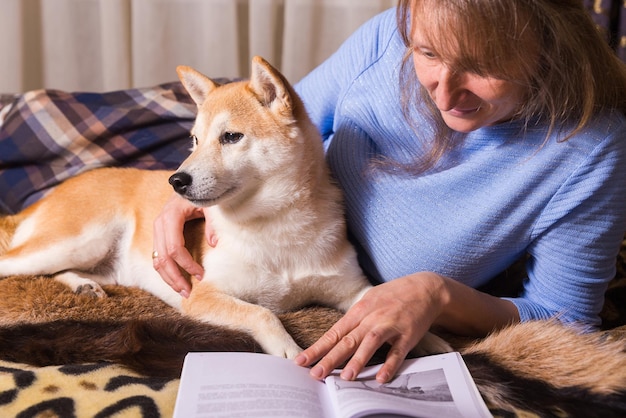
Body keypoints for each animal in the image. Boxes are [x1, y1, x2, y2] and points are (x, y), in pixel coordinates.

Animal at [0, 56, 448, 360]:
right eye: (195, 141)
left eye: (231, 137)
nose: (176, 181)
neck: (277, 226)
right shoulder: (203, 296)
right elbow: (262, 314)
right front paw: (287, 348)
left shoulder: (352, 290)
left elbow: (386, 304)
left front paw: (434, 340)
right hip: (74, 241)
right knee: (15, 264)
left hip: (97, 259)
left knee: (59, 273)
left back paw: (83, 286)